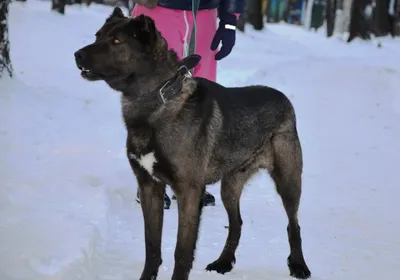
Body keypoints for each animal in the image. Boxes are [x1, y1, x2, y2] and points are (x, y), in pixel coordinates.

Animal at [74, 7, 312, 280]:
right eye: (98, 36)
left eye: (116, 42)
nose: (77, 55)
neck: (157, 99)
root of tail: (283, 98)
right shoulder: (149, 188)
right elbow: (152, 246)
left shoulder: (188, 193)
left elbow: (182, 251)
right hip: (230, 186)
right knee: (237, 223)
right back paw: (223, 262)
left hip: (288, 182)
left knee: (293, 224)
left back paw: (298, 265)